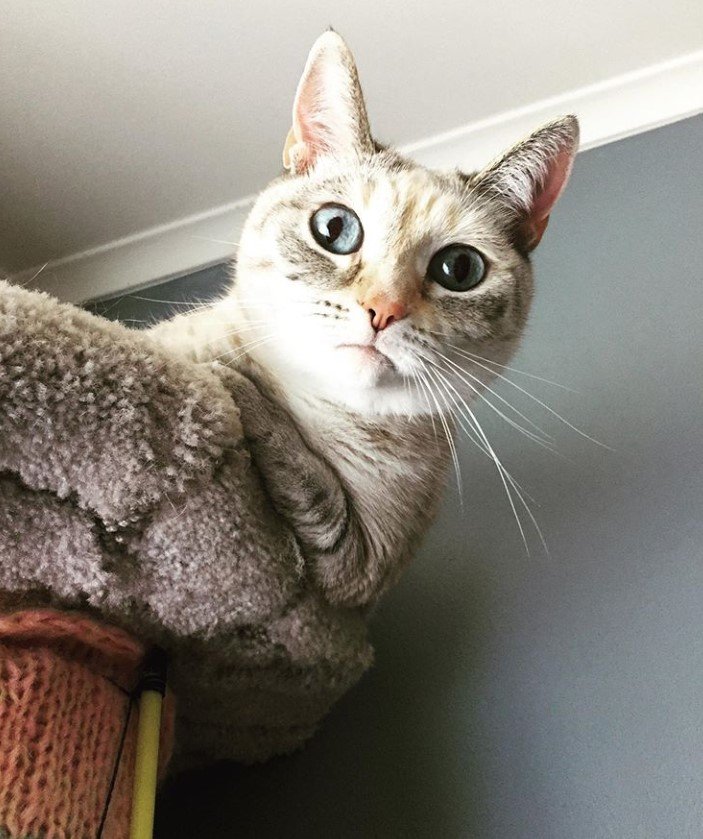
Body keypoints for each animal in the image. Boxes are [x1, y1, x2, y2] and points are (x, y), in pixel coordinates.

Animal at [150, 31, 576, 604]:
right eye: (335, 229)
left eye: (459, 269)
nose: (383, 310)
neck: (321, 411)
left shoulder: (359, 568)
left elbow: (311, 486)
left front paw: (238, 389)